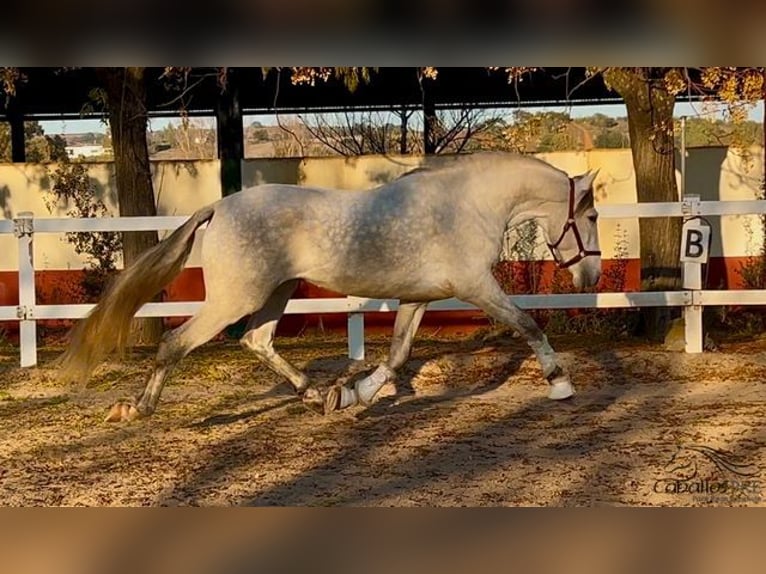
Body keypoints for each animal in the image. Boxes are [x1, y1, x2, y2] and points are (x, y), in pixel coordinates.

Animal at [57, 153, 604, 424]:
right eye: (594, 216)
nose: (592, 278)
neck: (465, 204)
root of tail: (217, 207)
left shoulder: (419, 297)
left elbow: (398, 355)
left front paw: (353, 394)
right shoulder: (476, 286)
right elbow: (528, 324)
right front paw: (560, 383)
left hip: (277, 292)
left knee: (257, 340)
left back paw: (314, 395)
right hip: (237, 298)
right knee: (176, 343)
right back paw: (136, 409)